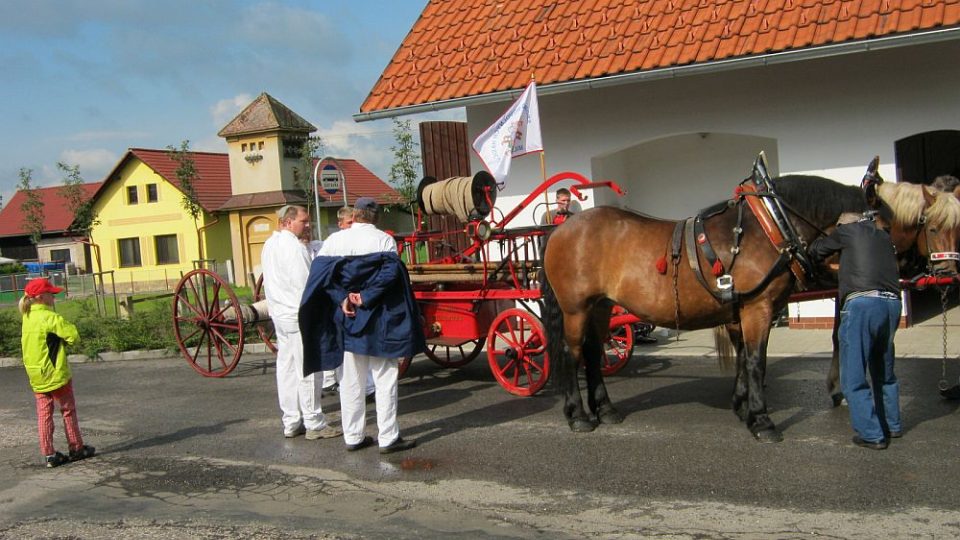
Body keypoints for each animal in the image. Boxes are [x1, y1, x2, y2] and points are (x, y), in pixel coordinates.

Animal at [544, 162, 868, 440]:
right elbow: (755, 361)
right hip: (576, 308)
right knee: (571, 353)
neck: (770, 225)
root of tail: (561, 230)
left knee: (592, 351)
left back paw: (605, 410)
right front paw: (762, 420)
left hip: (601, 305)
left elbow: (743, 357)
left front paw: (744, 408)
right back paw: (578, 416)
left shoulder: (740, 311)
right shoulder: (758, 308)